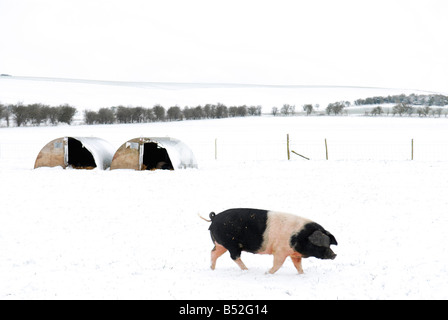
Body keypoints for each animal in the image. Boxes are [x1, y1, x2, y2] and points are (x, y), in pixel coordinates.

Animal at [202, 209, 336, 274]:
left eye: (329, 243)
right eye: (321, 244)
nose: (334, 254)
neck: (299, 237)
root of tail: (214, 218)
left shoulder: (294, 254)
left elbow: (298, 265)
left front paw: (302, 274)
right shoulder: (280, 251)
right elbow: (278, 264)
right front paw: (267, 273)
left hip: (221, 244)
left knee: (213, 253)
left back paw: (212, 269)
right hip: (231, 244)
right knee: (234, 257)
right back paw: (247, 270)